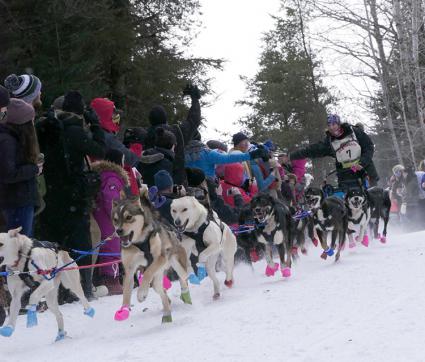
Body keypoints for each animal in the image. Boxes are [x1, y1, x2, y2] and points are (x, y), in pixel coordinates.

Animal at [111, 194, 190, 324]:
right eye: (115, 219)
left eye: (129, 217)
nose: (118, 231)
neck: (140, 243)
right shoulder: (129, 268)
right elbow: (126, 289)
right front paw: (125, 308)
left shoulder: (160, 258)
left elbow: (147, 273)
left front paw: (141, 293)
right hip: (157, 279)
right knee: (162, 292)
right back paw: (167, 315)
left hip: (175, 263)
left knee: (183, 278)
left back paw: (185, 295)